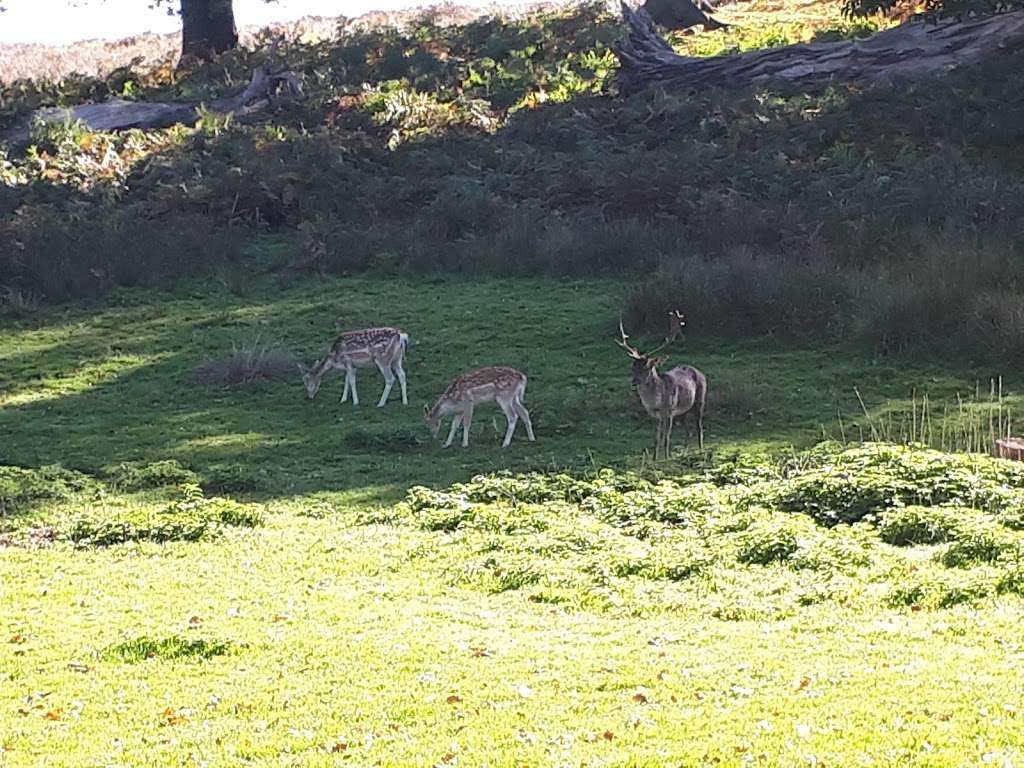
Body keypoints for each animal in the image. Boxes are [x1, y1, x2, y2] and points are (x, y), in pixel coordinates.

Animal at [614, 315, 704, 460]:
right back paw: (685, 452)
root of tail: (698, 371)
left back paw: (701, 450)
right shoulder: (656, 414)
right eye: (632, 367)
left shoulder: (670, 410)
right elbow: (657, 437)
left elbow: (666, 436)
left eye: (646, 367)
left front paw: (666, 457)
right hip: (683, 411)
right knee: (688, 431)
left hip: (699, 400)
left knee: (699, 427)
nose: (634, 382)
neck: (656, 402)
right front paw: (655, 458)